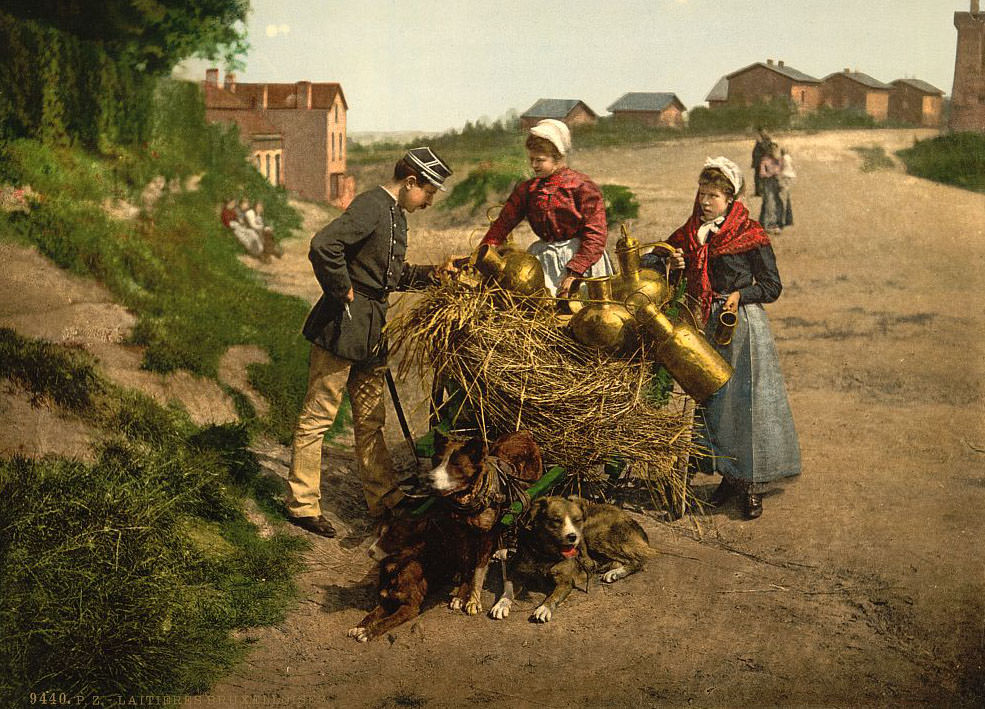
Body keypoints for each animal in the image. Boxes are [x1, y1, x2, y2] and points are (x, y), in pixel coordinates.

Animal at [346, 512, 468, 644]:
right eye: (379, 534)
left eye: (393, 538)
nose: (369, 551)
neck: (396, 570)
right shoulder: (387, 600)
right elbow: (372, 615)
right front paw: (359, 627)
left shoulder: (411, 606)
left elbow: (388, 620)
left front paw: (368, 632)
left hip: (464, 557)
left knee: (468, 576)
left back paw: (459, 597)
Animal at [422, 428, 544, 616]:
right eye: (436, 460)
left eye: (456, 464)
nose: (429, 478)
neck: (468, 498)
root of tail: (524, 433)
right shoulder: (461, 533)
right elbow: (466, 565)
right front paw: (460, 595)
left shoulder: (486, 535)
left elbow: (478, 571)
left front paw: (473, 600)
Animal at [490, 496, 652, 624]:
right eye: (556, 520)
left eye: (577, 520)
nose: (573, 537)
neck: (545, 553)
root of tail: (630, 519)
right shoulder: (516, 573)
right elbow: (507, 590)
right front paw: (501, 604)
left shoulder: (565, 582)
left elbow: (554, 596)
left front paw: (544, 608)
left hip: (593, 533)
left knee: (638, 560)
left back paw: (616, 572)